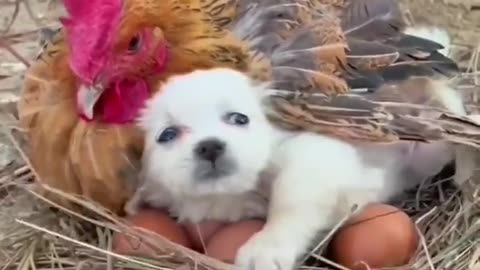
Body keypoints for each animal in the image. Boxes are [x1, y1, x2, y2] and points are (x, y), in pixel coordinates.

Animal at [127, 68, 458, 270]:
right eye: (167, 135)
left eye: (239, 118)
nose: (210, 146)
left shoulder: (313, 154)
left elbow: (289, 202)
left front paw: (266, 248)